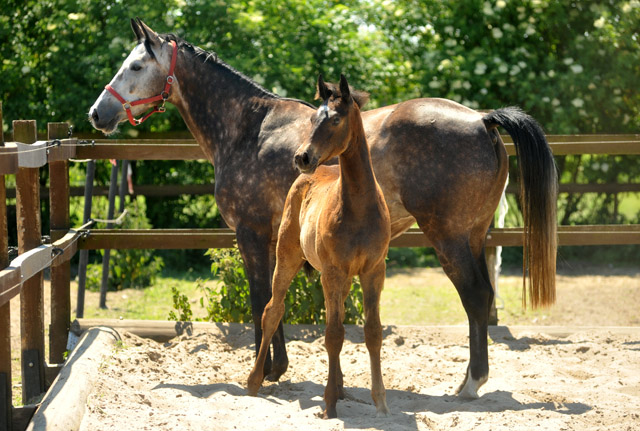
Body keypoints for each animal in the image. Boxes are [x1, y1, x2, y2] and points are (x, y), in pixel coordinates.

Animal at [248, 74, 392, 418]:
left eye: (336, 119)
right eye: (314, 119)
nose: (302, 157)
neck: (358, 208)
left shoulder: (373, 271)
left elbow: (372, 332)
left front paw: (380, 403)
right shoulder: (332, 271)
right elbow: (333, 335)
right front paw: (327, 405)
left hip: (341, 278)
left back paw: (339, 387)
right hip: (287, 257)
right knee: (272, 311)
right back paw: (254, 381)